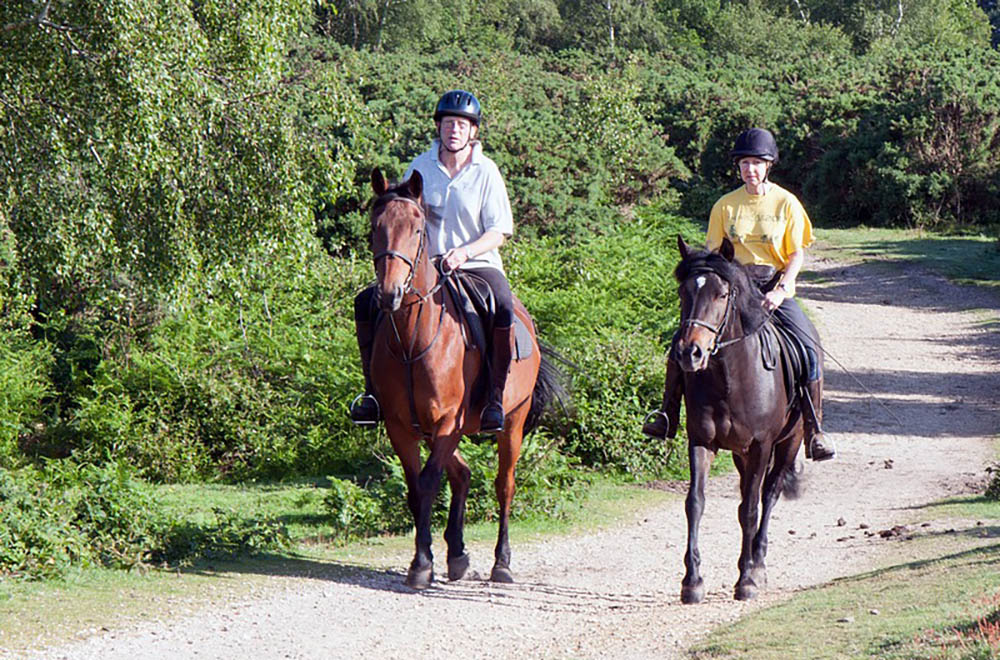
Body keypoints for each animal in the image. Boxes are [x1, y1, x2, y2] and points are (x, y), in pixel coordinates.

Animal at [368, 168, 560, 592]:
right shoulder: (402, 427)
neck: (412, 340)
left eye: (418, 229)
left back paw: (501, 563)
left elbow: (427, 484)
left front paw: (422, 564)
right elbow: (415, 488)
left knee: (504, 485)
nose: (390, 294)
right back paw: (457, 555)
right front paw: (426, 558)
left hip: (512, 423)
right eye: (376, 227)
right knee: (463, 474)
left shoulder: (446, 422)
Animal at [672, 236, 804, 604]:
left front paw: (746, 580)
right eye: (683, 292)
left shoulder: (761, 445)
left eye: (721, 294)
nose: (690, 353)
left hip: (789, 442)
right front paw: (692, 581)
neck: (730, 378)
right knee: (749, 492)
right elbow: (695, 503)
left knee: (768, 495)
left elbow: (750, 510)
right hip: (740, 454)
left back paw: (756, 564)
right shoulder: (701, 441)